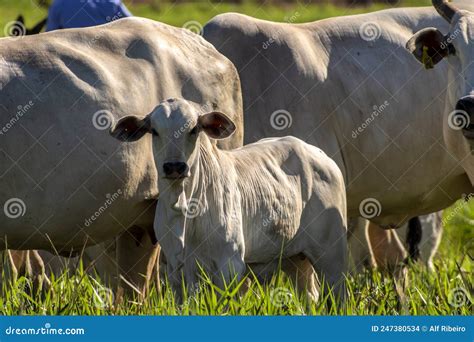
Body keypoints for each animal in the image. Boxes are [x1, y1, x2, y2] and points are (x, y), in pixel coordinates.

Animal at [111, 98, 348, 300]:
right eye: (154, 131)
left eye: (194, 129)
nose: (174, 167)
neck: (185, 207)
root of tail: (320, 156)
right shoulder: (177, 271)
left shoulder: (230, 265)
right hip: (296, 258)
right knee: (310, 295)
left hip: (333, 256)